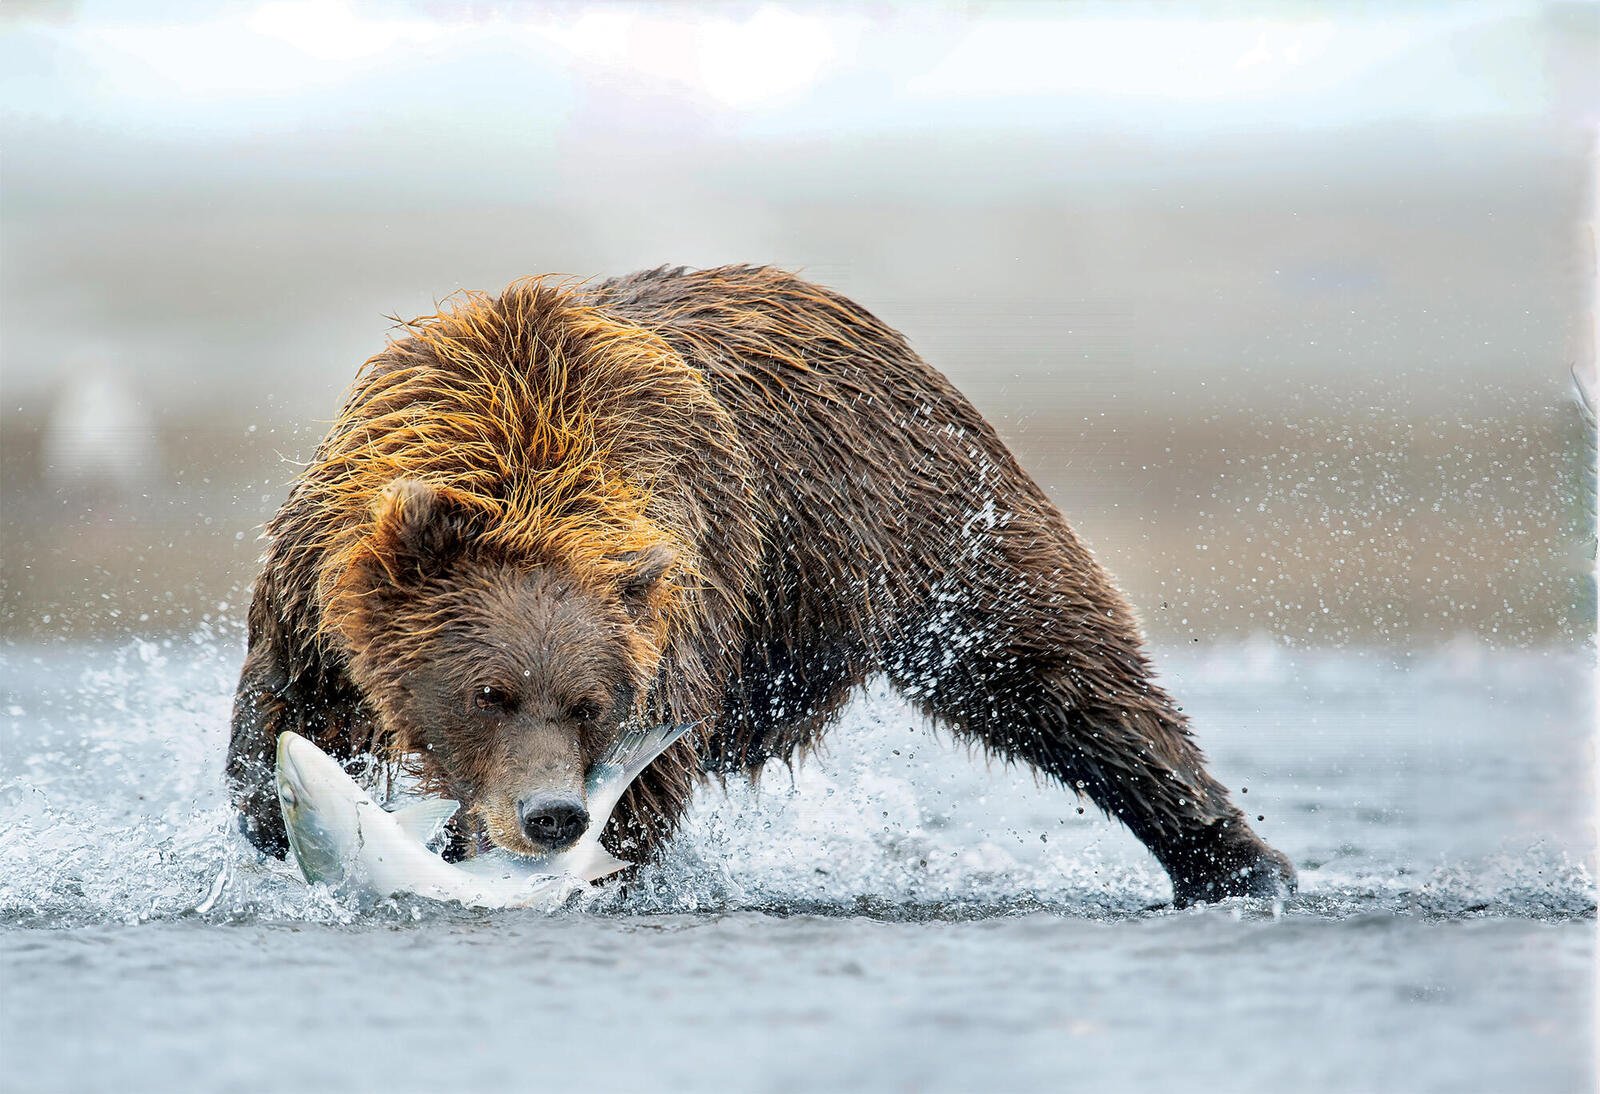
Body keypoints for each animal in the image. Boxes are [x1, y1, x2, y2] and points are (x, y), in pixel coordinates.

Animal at [228, 262, 1299, 908]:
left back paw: (1239, 863)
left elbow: (647, 789)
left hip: (933, 521)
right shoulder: (310, 597)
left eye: (587, 701)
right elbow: (285, 708)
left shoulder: (683, 607)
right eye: (490, 692)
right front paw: (277, 828)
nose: (553, 814)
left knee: (1060, 670)